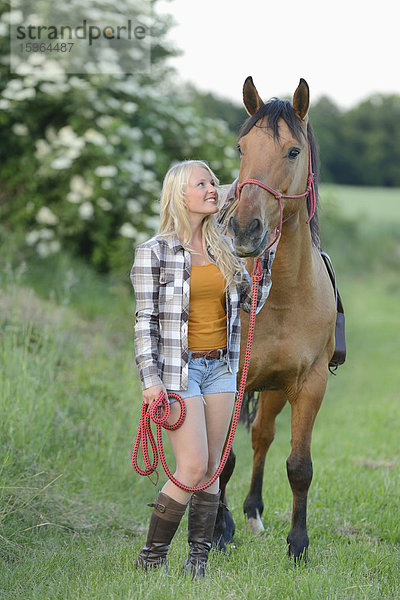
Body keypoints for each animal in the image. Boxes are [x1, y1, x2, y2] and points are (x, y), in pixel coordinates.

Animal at [212, 76, 338, 564]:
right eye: (241, 147)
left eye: (292, 151)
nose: (245, 229)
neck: (282, 293)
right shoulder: (231, 380)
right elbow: (223, 460)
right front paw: (218, 531)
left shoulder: (308, 383)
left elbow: (299, 466)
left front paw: (298, 543)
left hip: (272, 390)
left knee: (263, 436)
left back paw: (252, 512)